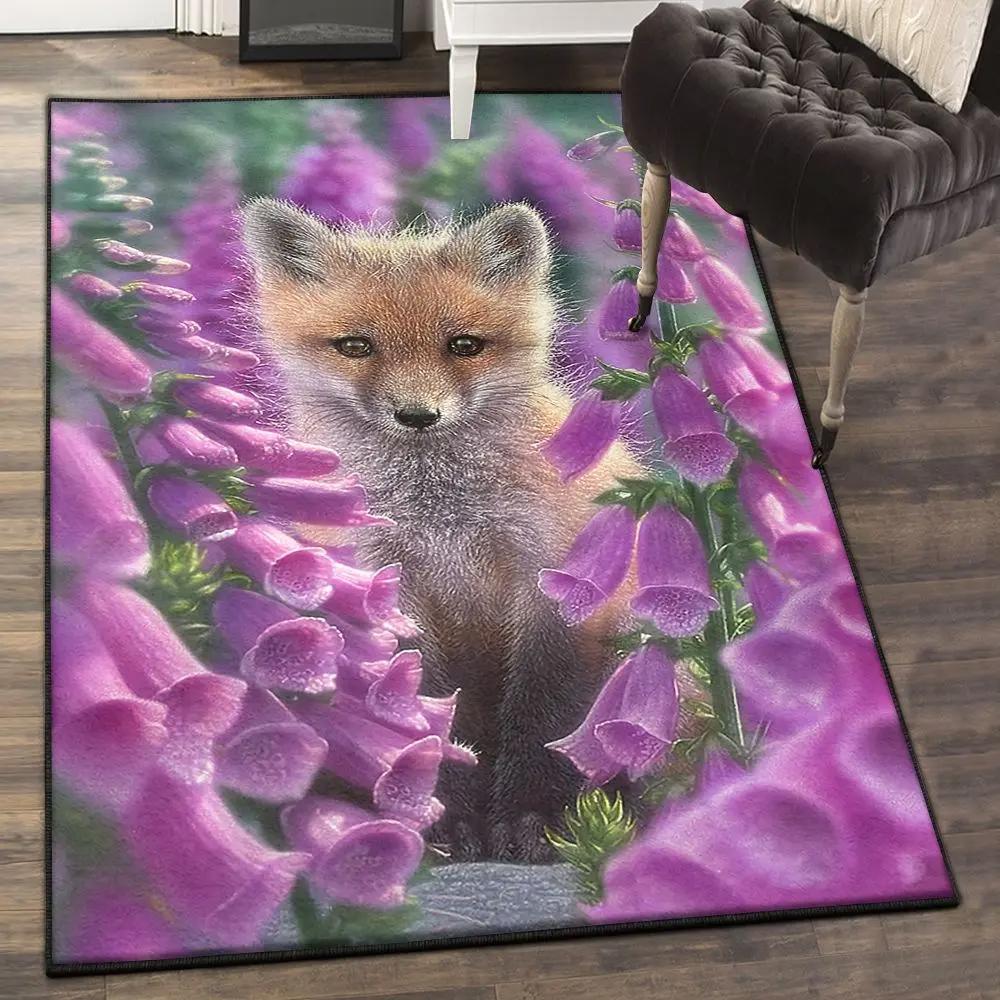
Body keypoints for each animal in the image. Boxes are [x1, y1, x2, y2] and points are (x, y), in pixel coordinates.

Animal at [243, 198, 644, 861]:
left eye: (463, 345)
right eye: (356, 345)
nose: (417, 415)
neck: (442, 520)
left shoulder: (555, 588)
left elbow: (547, 715)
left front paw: (535, 818)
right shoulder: (386, 587)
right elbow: (421, 715)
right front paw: (439, 819)